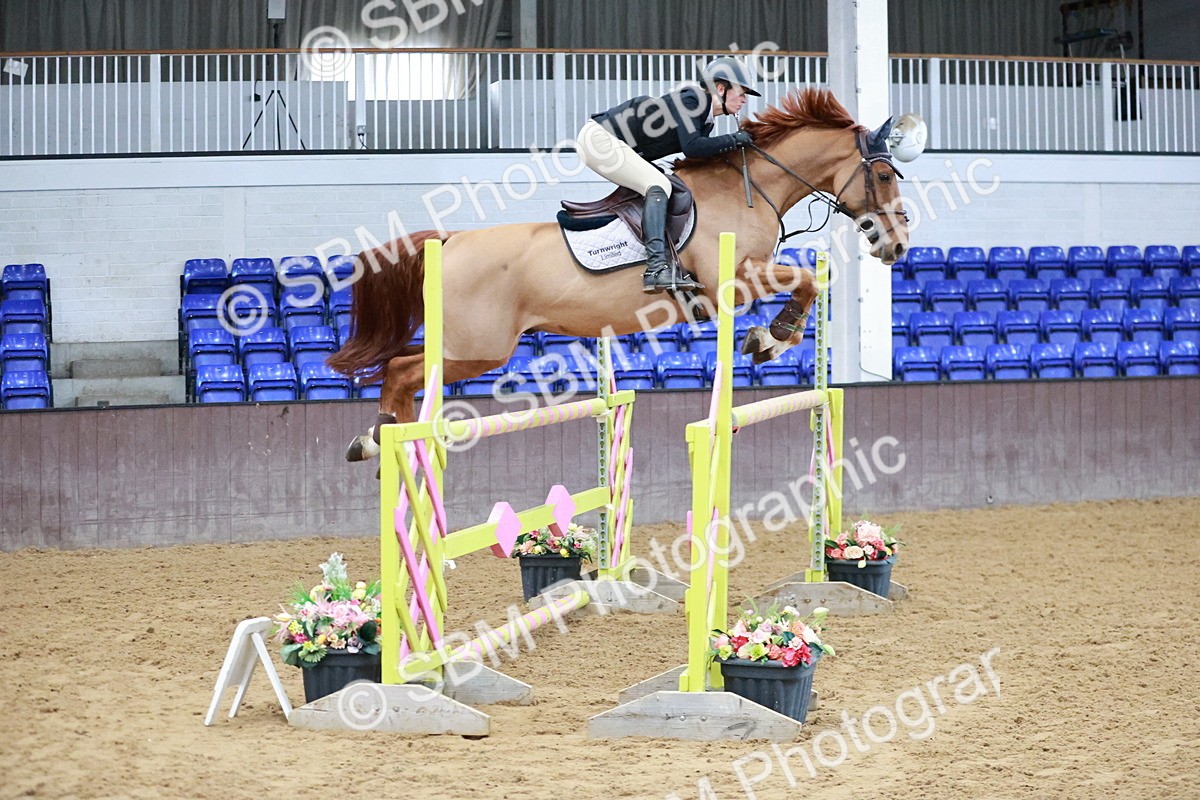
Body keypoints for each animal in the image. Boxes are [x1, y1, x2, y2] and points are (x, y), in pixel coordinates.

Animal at [328, 88, 910, 462]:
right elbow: (809, 281)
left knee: (398, 367)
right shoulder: (737, 278)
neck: (749, 189)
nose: (898, 244)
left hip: (464, 345)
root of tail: (450, 241)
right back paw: (382, 438)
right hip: (477, 349)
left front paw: (769, 339)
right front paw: (773, 337)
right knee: (401, 370)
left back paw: (381, 440)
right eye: (884, 174)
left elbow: (811, 282)